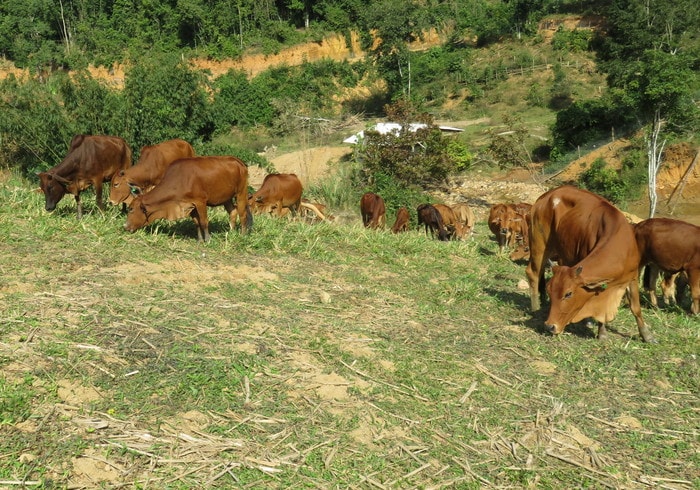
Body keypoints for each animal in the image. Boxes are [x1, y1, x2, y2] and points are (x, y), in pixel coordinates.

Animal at [524, 186, 656, 342]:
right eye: (551, 290)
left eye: (568, 294)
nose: (550, 326)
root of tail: (547, 195)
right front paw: (602, 333)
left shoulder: (632, 276)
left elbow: (636, 308)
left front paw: (647, 335)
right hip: (539, 244)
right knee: (533, 272)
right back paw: (535, 307)